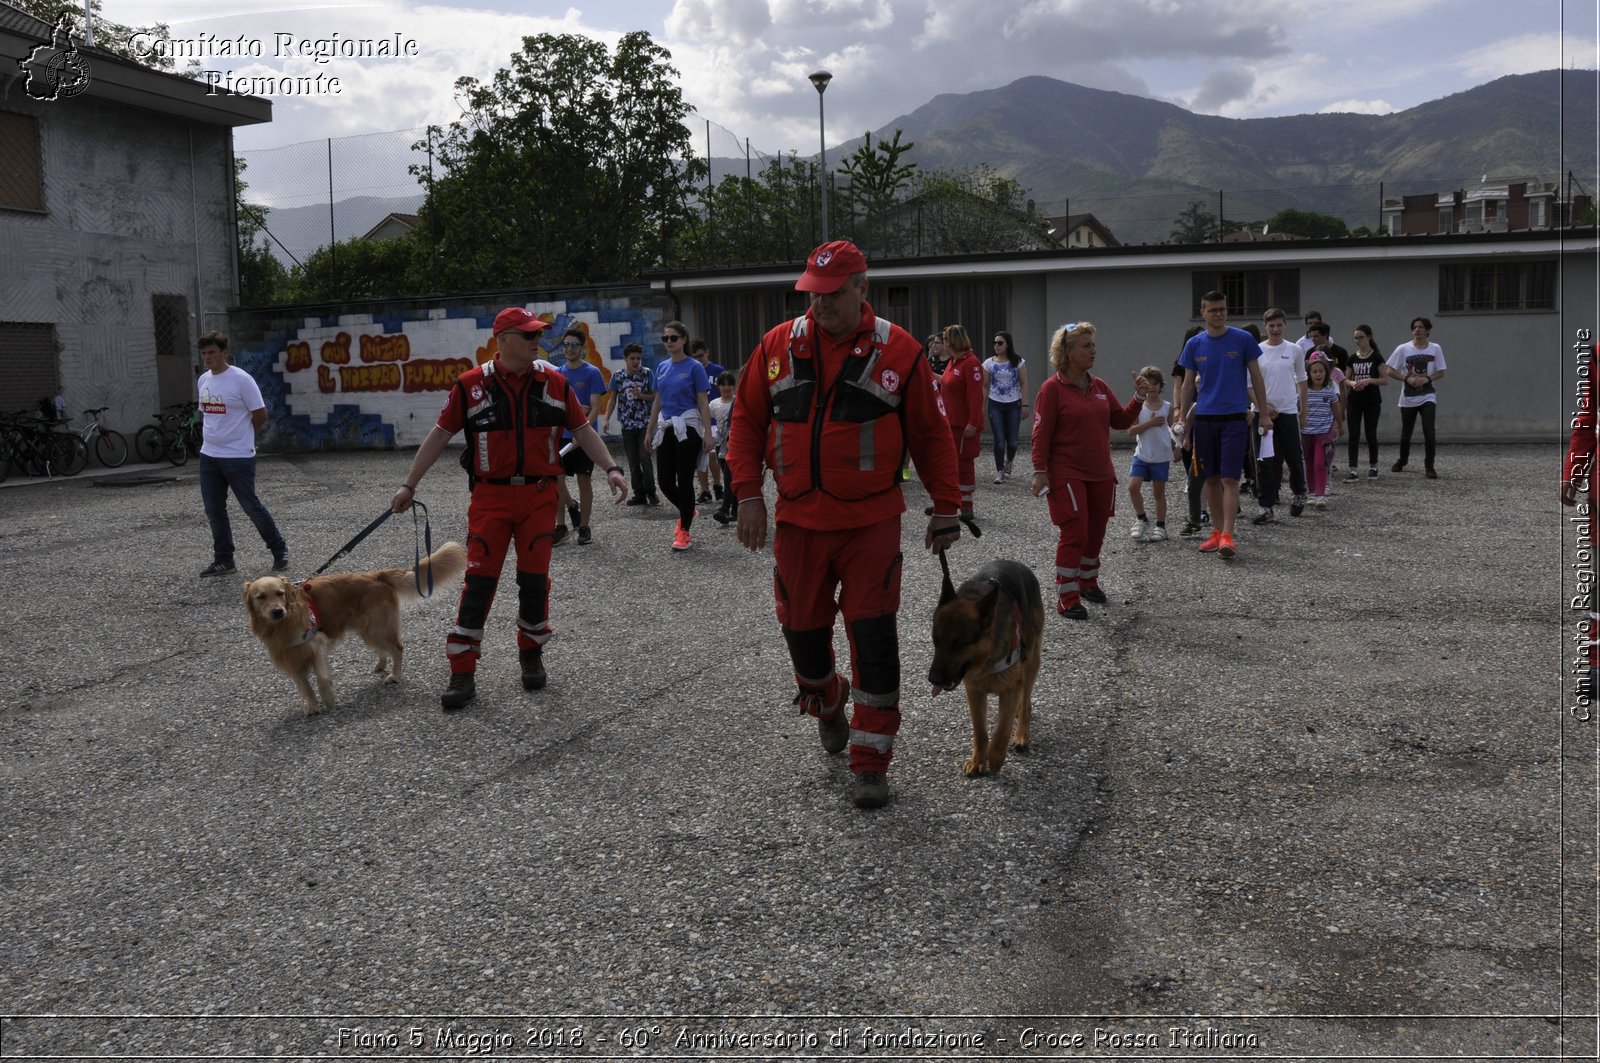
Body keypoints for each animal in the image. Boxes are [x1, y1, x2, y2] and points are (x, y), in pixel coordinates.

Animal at [240, 547, 467, 714]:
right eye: (261, 596)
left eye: (279, 593)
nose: (278, 611)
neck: (284, 624)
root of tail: (377, 575)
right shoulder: (290, 657)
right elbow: (304, 687)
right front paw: (312, 706)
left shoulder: (317, 644)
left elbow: (321, 678)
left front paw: (329, 700)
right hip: (367, 629)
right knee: (384, 649)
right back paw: (380, 664)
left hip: (378, 627)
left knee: (398, 649)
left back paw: (394, 675)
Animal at [934, 560, 1043, 778]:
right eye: (935, 640)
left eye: (957, 645)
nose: (932, 678)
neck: (986, 658)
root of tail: (1017, 563)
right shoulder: (974, 692)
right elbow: (980, 731)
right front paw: (978, 761)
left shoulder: (1010, 689)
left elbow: (1001, 730)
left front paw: (995, 758)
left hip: (1031, 663)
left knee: (1026, 701)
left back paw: (1022, 734)